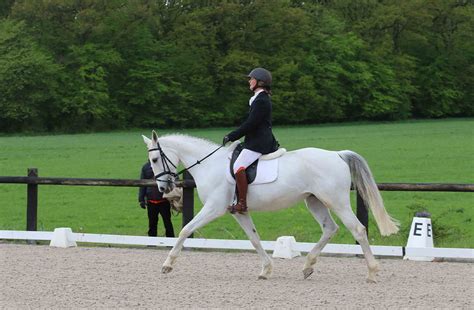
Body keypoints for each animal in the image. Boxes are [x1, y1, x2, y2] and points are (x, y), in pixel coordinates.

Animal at [143, 131, 398, 284]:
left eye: (154, 160)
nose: (164, 188)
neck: (209, 165)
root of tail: (337, 154)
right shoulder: (240, 212)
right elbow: (254, 239)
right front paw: (266, 270)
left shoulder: (214, 208)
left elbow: (186, 230)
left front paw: (167, 265)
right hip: (314, 201)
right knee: (330, 228)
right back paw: (307, 266)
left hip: (336, 200)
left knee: (358, 229)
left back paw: (372, 272)